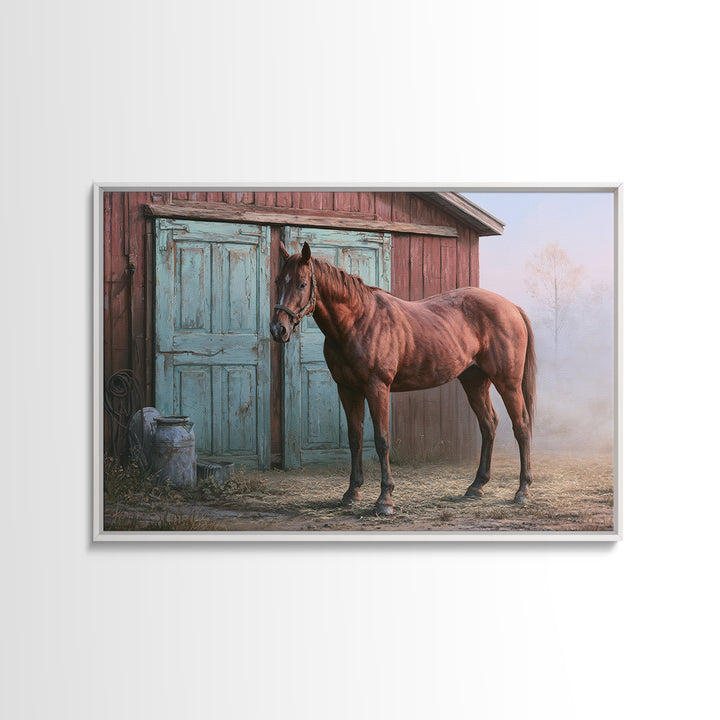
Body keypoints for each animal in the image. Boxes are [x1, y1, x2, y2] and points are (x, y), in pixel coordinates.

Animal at [270, 241, 536, 516]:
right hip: (474, 381)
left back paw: (522, 490)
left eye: (302, 284)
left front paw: (385, 499)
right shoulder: (347, 389)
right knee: (488, 424)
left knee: (521, 426)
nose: (278, 329)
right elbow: (355, 438)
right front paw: (352, 493)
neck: (358, 321)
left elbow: (382, 440)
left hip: (508, 382)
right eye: (278, 281)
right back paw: (477, 486)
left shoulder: (377, 388)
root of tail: (512, 307)